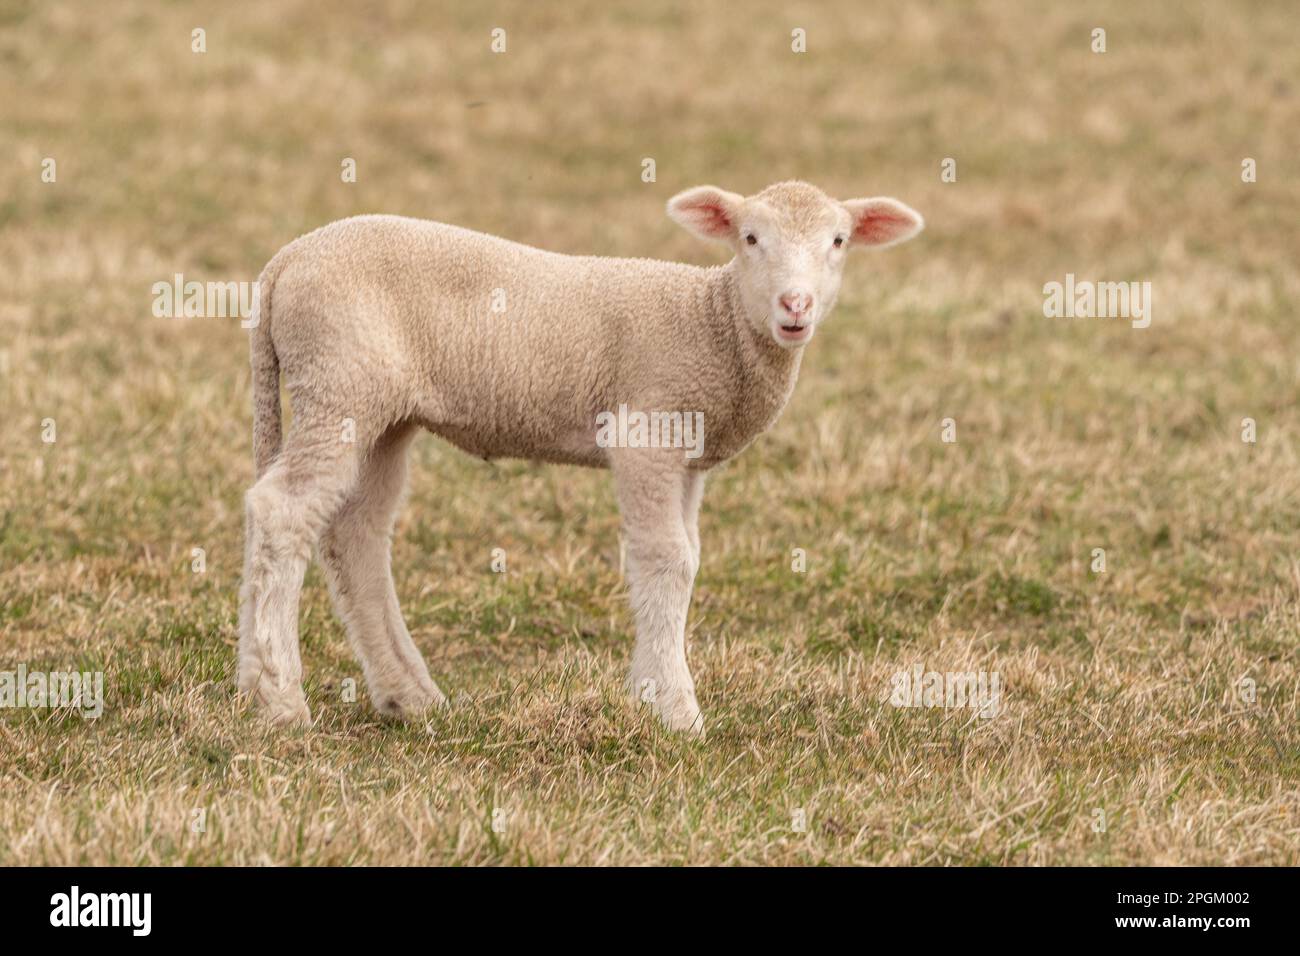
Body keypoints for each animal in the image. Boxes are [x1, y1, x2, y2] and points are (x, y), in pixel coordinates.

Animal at [237, 180, 924, 735]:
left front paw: (651, 690)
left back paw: (406, 696)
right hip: (339, 381)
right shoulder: (647, 430)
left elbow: (686, 558)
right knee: (282, 510)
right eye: (750, 238)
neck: (713, 322)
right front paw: (676, 711)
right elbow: (666, 560)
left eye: (838, 241)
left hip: (382, 412)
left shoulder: (687, 457)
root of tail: (284, 262)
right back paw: (280, 701)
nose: (795, 307)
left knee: (356, 535)